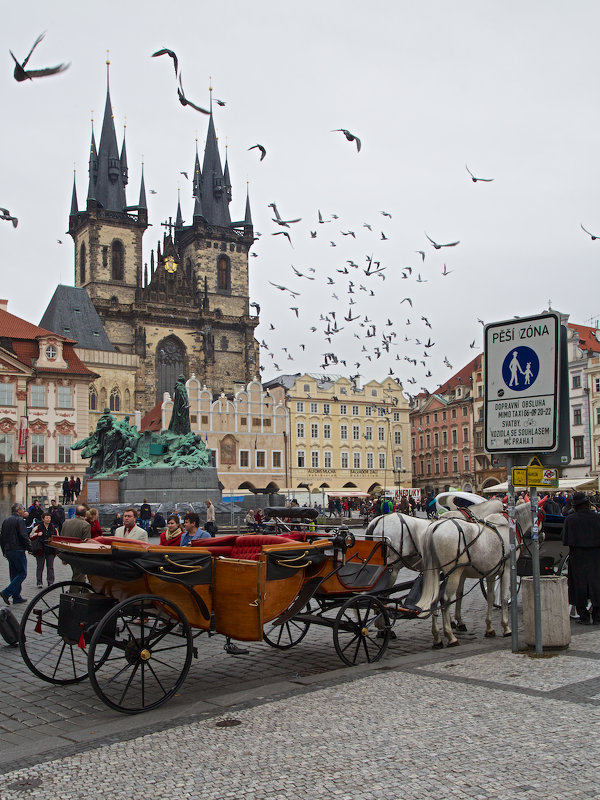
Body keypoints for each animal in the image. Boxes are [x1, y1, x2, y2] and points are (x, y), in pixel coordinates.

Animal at [412, 504, 536, 648]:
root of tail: (434, 527)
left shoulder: (490, 572)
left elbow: (489, 597)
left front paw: (489, 628)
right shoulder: (506, 570)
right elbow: (504, 598)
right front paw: (506, 628)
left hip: (437, 572)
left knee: (434, 599)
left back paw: (437, 638)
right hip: (453, 573)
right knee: (445, 600)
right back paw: (451, 637)